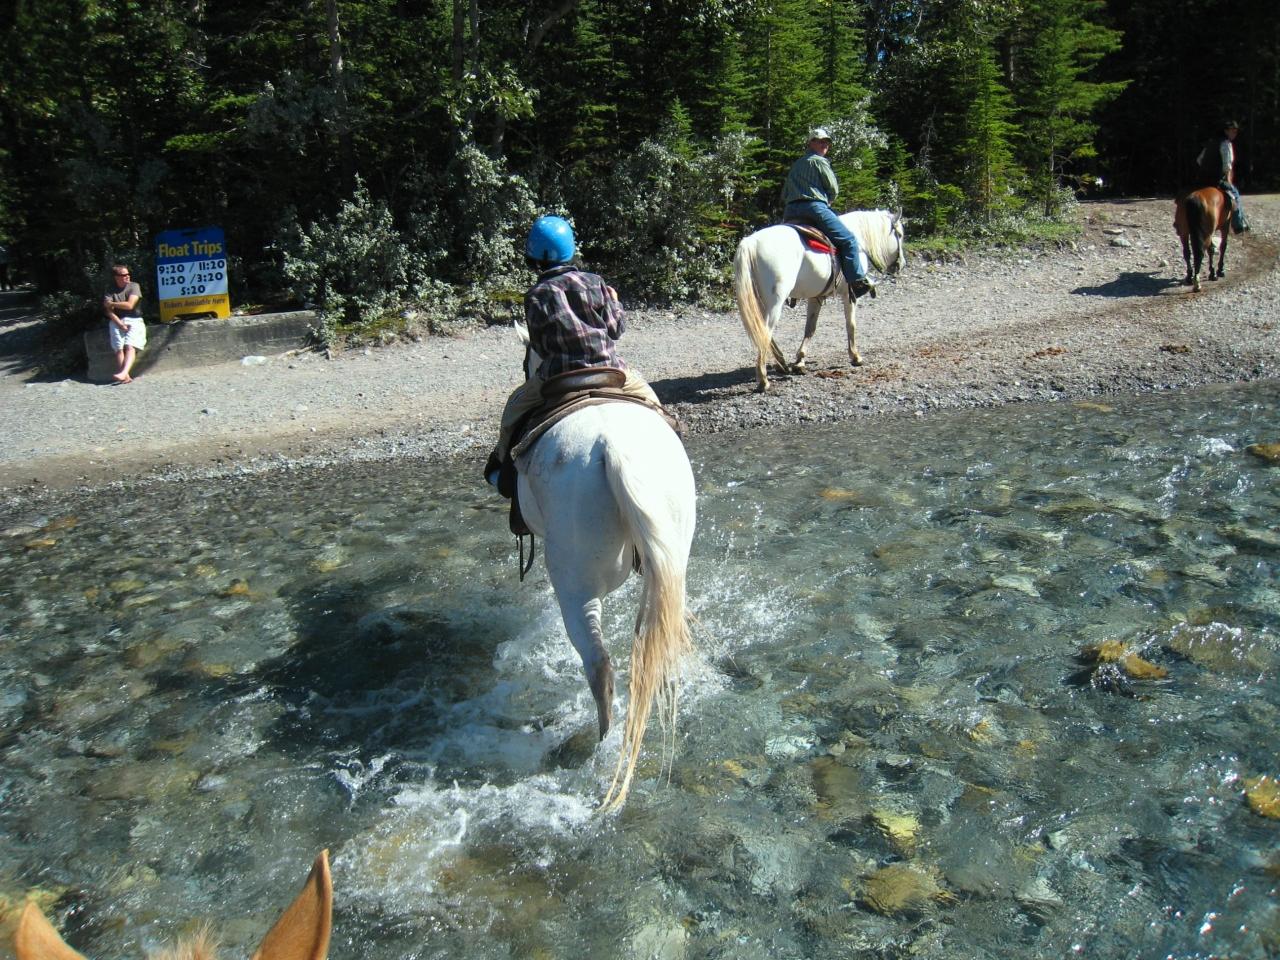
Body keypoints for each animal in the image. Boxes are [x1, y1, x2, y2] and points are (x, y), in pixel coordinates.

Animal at [509, 321, 696, 814]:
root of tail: (613, 448)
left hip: (576, 586)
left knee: (598, 663)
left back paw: (603, 738)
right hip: (671, 559)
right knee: (652, 641)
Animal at [737, 209, 906, 391]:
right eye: (900, 234)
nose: (901, 264)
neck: (858, 235)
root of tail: (751, 243)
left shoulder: (815, 297)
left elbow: (810, 328)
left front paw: (800, 361)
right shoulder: (849, 294)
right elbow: (851, 324)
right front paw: (855, 357)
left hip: (760, 302)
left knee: (762, 330)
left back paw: (782, 364)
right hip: (775, 303)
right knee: (765, 332)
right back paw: (763, 380)